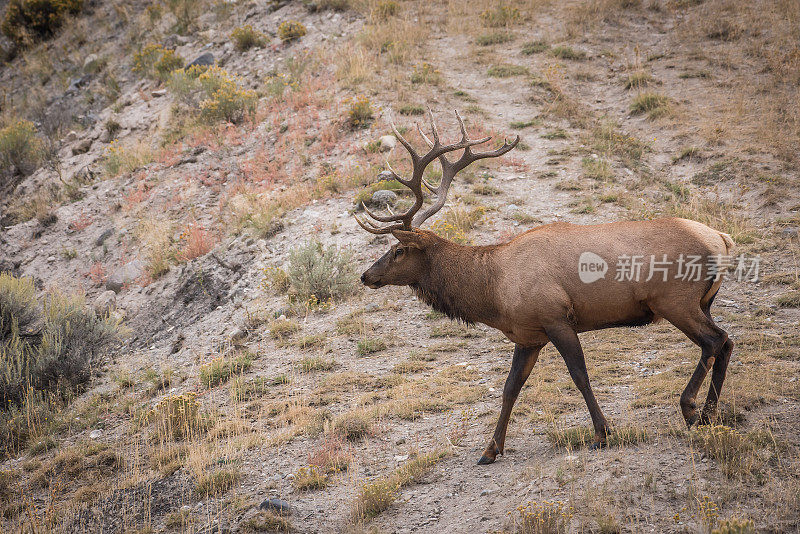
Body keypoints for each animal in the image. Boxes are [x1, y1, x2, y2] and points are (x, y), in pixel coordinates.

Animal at [360, 110, 736, 464]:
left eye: (398, 250)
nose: (366, 275)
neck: (493, 291)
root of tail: (722, 239)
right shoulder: (529, 335)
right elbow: (510, 388)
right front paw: (490, 449)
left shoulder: (556, 317)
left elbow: (579, 374)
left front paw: (602, 433)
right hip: (702, 302)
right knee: (726, 341)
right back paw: (710, 412)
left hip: (676, 300)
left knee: (714, 340)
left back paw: (691, 410)